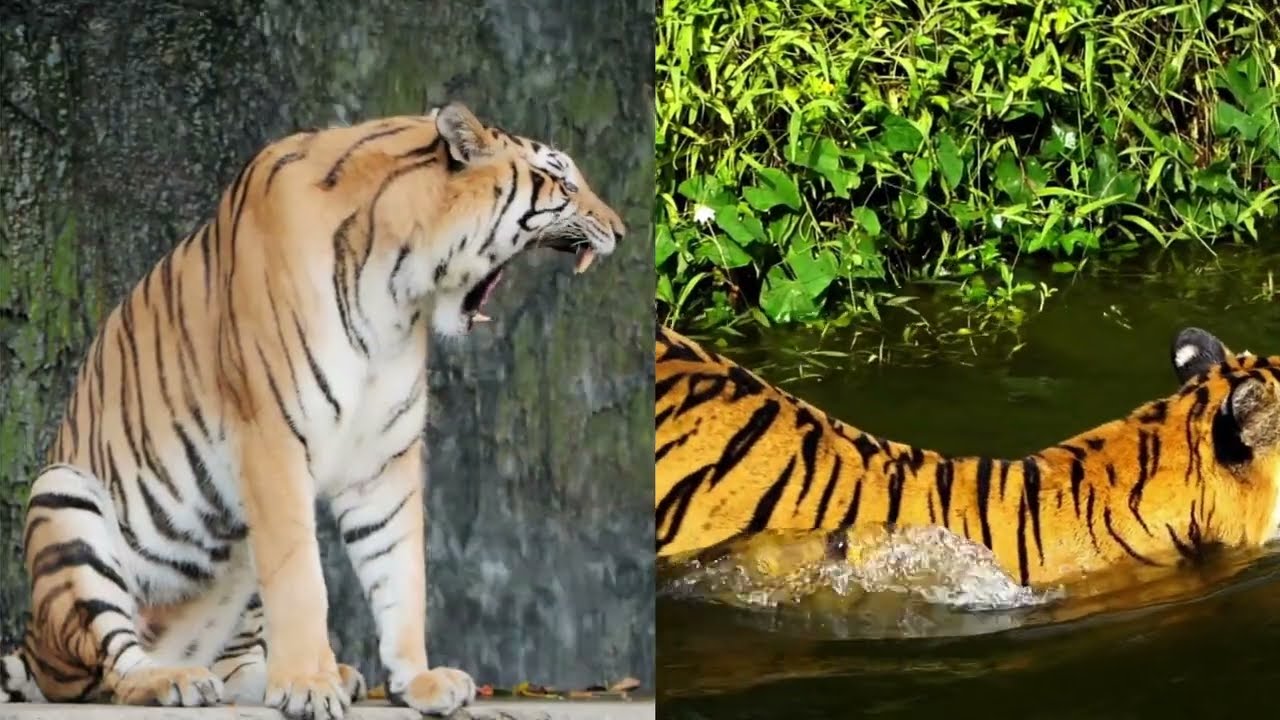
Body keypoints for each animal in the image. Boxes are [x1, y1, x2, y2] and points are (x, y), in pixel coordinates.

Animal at [0, 102, 624, 720]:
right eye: (565, 181)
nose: (620, 230)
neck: (398, 286)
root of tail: (35, 645)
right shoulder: (271, 436)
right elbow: (302, 576)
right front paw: (306, 684)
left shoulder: (384, 456)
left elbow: (401, 571)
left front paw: (416, 681)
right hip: (64, 497)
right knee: (113, 668)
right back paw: (174, 680)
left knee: (231, 662)